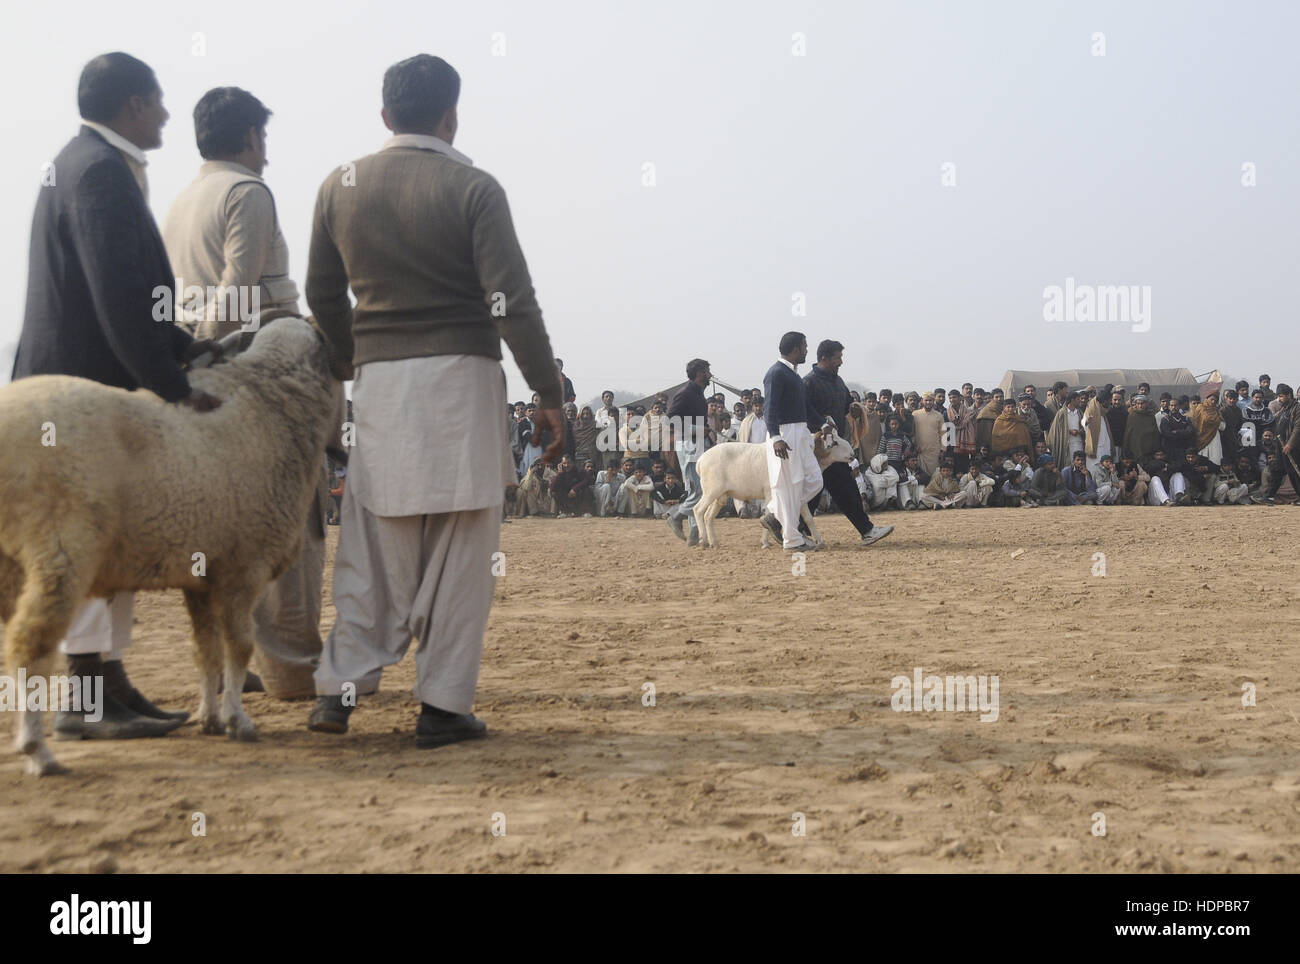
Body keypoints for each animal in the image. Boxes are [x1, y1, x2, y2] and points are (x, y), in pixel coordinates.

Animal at [0, 317, 343, 779]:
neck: (271, 402)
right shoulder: (244, 566)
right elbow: (240, 647)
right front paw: (238, 721)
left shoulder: (201, 575)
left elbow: (206, 652)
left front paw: (210, 718)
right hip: (60, 550)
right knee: (29, 649)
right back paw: (38, 750)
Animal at [691, 431, 852, 550]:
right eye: (835, 443)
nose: (852, 454)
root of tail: (700, 461)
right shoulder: (770, 493)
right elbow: (770, 512)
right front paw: (766, 541)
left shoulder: (798, 495)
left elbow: (808, 518)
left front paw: (819, 541)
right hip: (711, 491)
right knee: (698, 510)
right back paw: (703, 541)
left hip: (721, 496)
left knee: (708, 516)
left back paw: (714, 543)